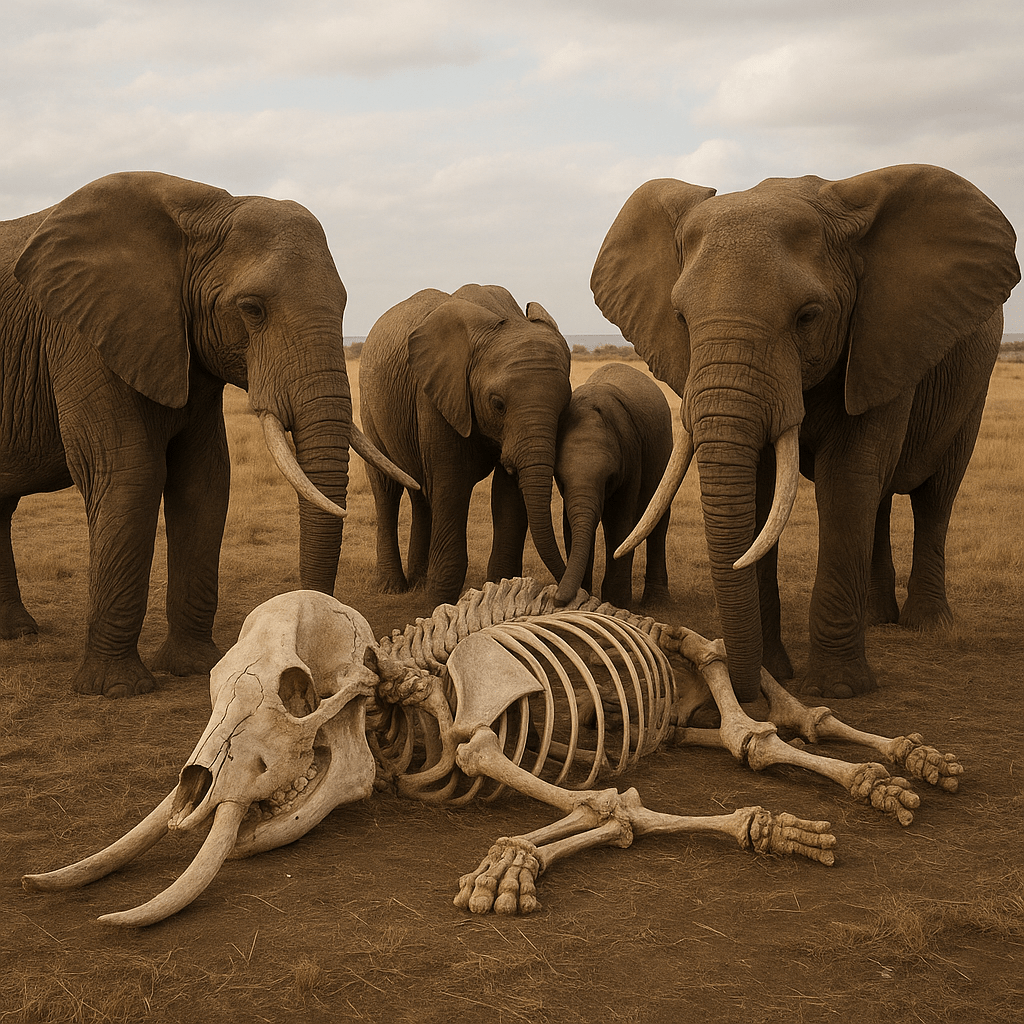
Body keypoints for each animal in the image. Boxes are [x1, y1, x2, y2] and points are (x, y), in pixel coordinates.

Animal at [0, 170, 412, 698]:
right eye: (252, 309)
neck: (201, 212)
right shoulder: (81, 336)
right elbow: (129, 475)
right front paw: (117, 689)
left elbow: (205, 481)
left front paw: (196, 666)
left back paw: (17, 633)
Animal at [359, 283, 572, 602]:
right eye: (497, 404)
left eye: (564, 407)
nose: (562, 593)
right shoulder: (438, 395)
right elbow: (452, 485)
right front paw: (438, 602)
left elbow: (507, 494)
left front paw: (499, 589)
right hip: (369, 405)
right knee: (387, 490)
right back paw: (392, 587)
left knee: (421, 491)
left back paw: (419, 580)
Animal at [554, 361, 673, 609]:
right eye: (559, 478)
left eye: (609, 478)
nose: (557, 598)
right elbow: (569, 522)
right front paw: (583, 598)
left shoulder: (631, 455)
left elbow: (618, 520)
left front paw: (616, 603)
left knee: (658, 519)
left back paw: (657, 602)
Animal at [591, 163, 1020, 701]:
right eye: (681, 319)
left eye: (808, 317)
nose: (743, 688)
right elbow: (761, 490)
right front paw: (776, 672)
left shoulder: (881, 341)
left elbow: (846, 482)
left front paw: (838, 690)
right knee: (880, 498)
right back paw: (876, 618)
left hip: (972, 386)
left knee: (935, 495)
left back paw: (927, 625)